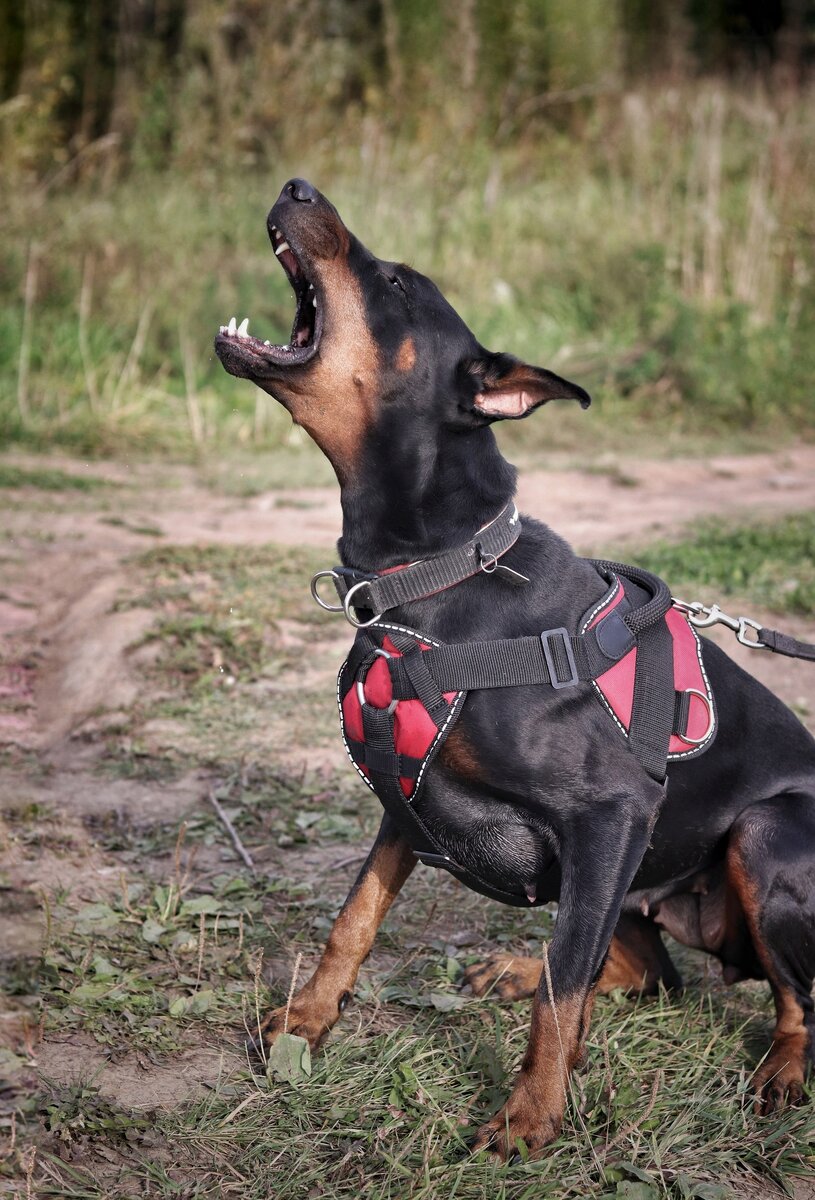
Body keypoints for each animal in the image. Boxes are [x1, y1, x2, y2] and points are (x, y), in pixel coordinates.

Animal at [214, 175, 815, 1152]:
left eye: (394, 282)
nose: (296, 184)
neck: (437, 571)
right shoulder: (405, 797)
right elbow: (355, 919)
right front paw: (306, 1021)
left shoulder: (613, 813)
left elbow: (564, 986)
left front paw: (529, 1115)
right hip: (635, 887)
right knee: (651, 971)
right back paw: (508, 968)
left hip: (760, 837)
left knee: (792, 998)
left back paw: (780, 1072)